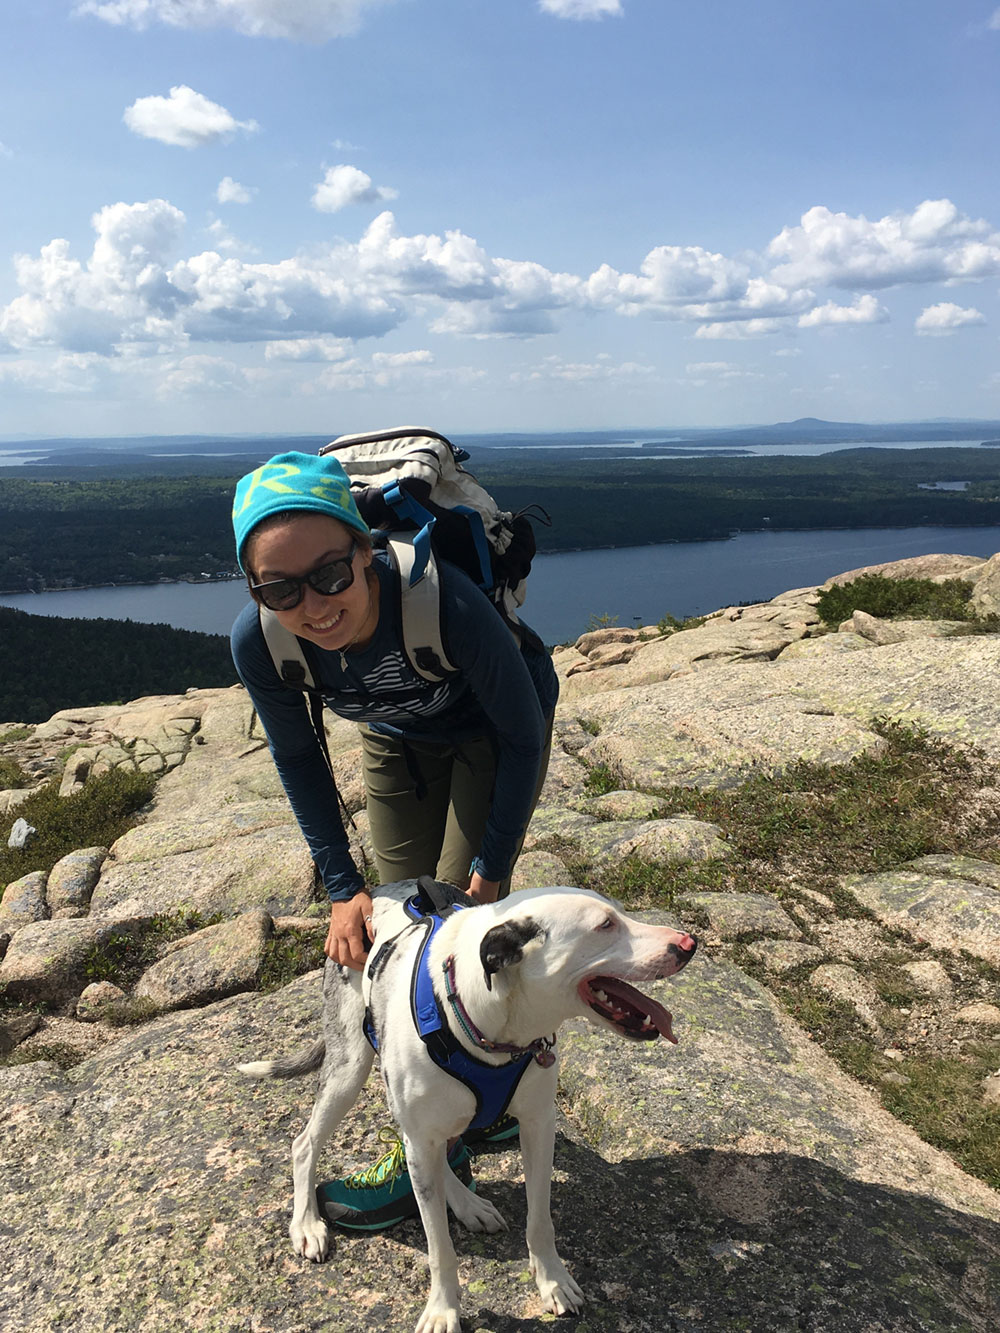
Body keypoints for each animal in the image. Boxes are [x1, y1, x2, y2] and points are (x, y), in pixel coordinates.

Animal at [240, 879, 698, 1327]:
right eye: (605, 925)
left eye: (619, 912)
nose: (688, 943)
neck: (490, 1024)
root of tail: (378, 889)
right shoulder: (423, 1134)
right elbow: (439, 1248)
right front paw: (443, 1309)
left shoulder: (539, 1124)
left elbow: (540, 1220)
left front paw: (552, 1280)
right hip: (349, 1070)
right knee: (306, 1144)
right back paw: (307, 1224)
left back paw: (466, 1203)